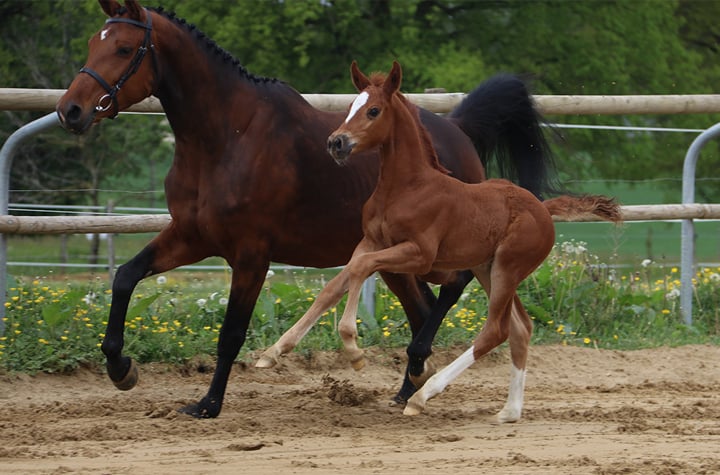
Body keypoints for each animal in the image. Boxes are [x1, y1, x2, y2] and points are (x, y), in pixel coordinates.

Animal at [57, 0, 564, 420]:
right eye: (92, 43)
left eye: (124, 48)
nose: (71, 110)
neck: (228, 137)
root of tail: (458, 129)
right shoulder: (190, 237)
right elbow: (125, 277)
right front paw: (121, 368)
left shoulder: (251, 253)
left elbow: (230, 333)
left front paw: (208, 404)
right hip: (399, 261)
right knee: (423, 310)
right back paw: (408, 387)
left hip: (441, 252)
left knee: (452, 294)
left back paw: (419, 378)